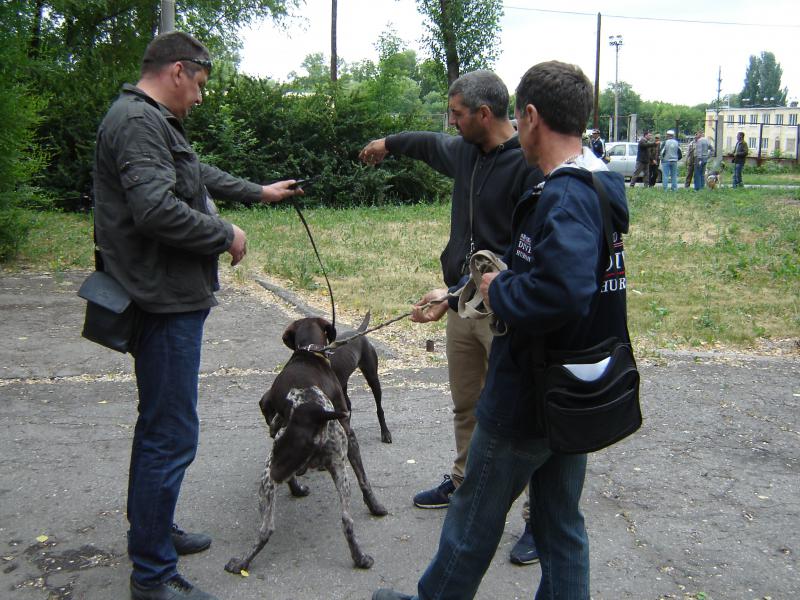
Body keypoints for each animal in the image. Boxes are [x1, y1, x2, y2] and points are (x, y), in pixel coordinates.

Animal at [225, 317, 386, 575]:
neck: (309, 353)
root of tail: (318, 414)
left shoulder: (273, 421)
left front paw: (297, 489)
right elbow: (364, 481)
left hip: (269, 473)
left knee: (266, 529)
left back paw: (241, 562)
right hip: (341, 471)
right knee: (347, 521)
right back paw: (361, 557)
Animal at [330, 312, 391, 443]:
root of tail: (358, 332)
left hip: (372, 378)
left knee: (379, 409)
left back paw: (385, 433)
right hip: (343, 384)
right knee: (348, 405)